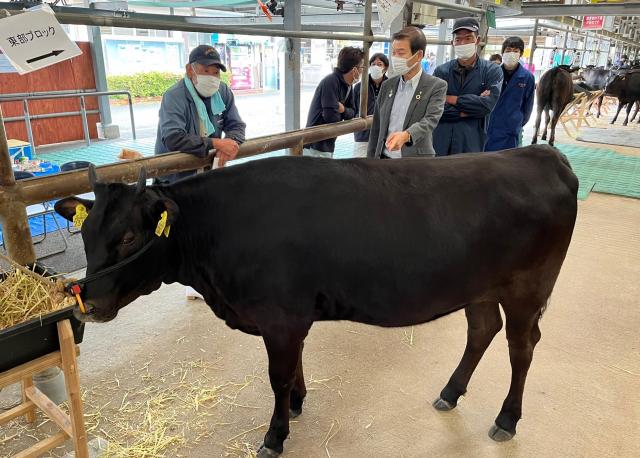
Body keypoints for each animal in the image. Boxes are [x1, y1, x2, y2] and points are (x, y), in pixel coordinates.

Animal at [56, 148, 580, 458]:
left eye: (128, 237)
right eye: (84, 233)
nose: (90, 302)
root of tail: (540, 153)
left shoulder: (280, 317)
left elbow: (277, 376)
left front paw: (275, 435)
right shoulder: (291, 317)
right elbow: (294, 369)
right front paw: (298, 403)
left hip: (527, 290)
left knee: (521, 348)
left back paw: (506, 419)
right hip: (478, 289)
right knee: (481, 330)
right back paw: (450, 392)